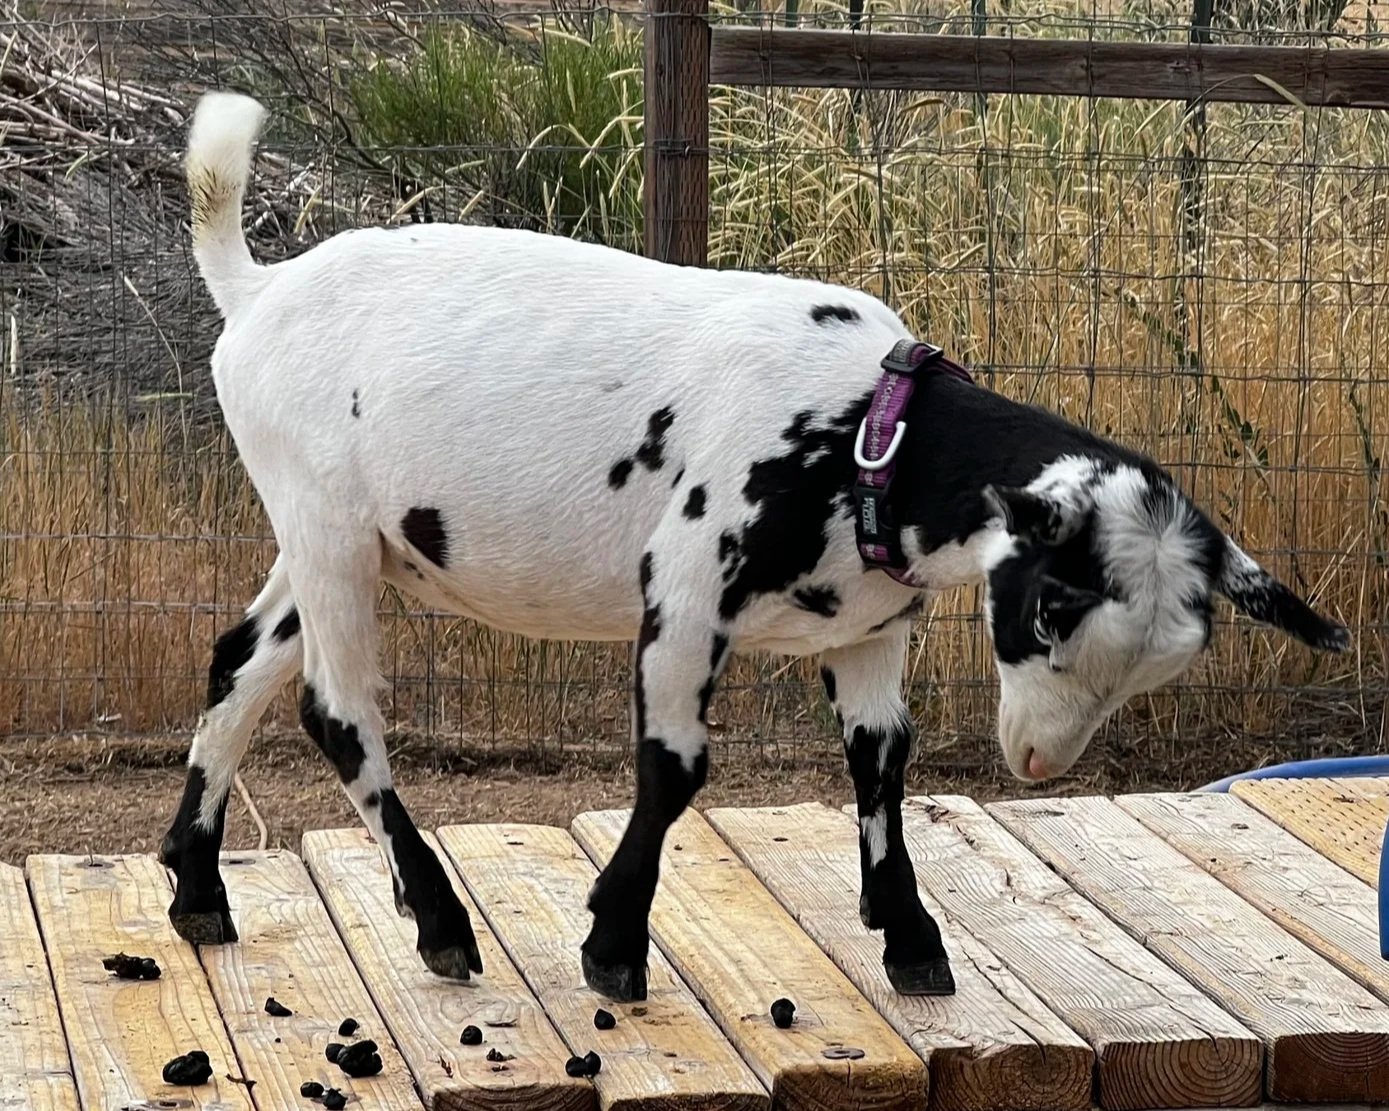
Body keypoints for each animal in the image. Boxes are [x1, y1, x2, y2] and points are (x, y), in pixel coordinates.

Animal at [160, 91, 1348, 1002]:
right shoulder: (687, 591)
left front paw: (911, 940)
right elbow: (675, 765)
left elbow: (882, 761)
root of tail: (257, 290)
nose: (1038, 764)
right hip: (322, 523)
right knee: (336, 712)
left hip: (338, 539)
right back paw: (441, 924)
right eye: (1051, 608)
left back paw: (198, 891)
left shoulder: (871, 630)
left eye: (1163, 667)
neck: (869, 431)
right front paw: (613, 946)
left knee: (237, 661)